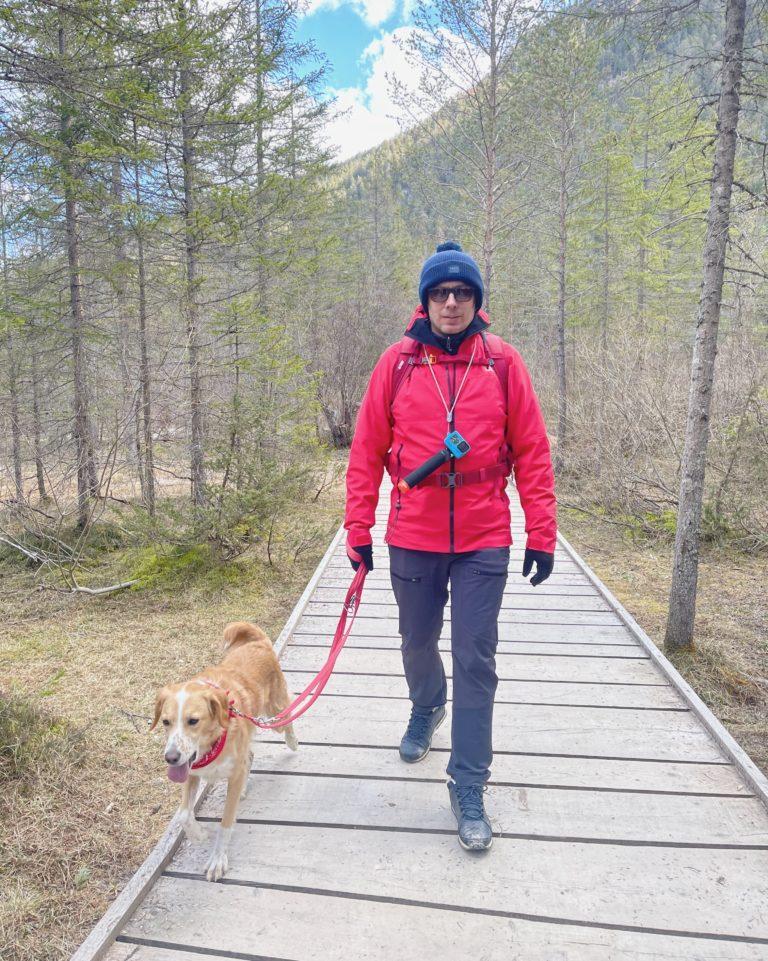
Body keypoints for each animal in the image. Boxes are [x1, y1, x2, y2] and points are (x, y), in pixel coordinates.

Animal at [151, 624, 296, 876]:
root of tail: (258, 641)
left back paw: (293, 741)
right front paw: (198, 835)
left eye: (193, 721)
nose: (171, 758)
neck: (213, 742)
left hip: (273, 709)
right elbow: (183, 814)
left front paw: (218, 858)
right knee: (250, 756)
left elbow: (226, 822)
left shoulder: (227, 772)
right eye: (165, 722)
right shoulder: (191, 772)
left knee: (288, 715)